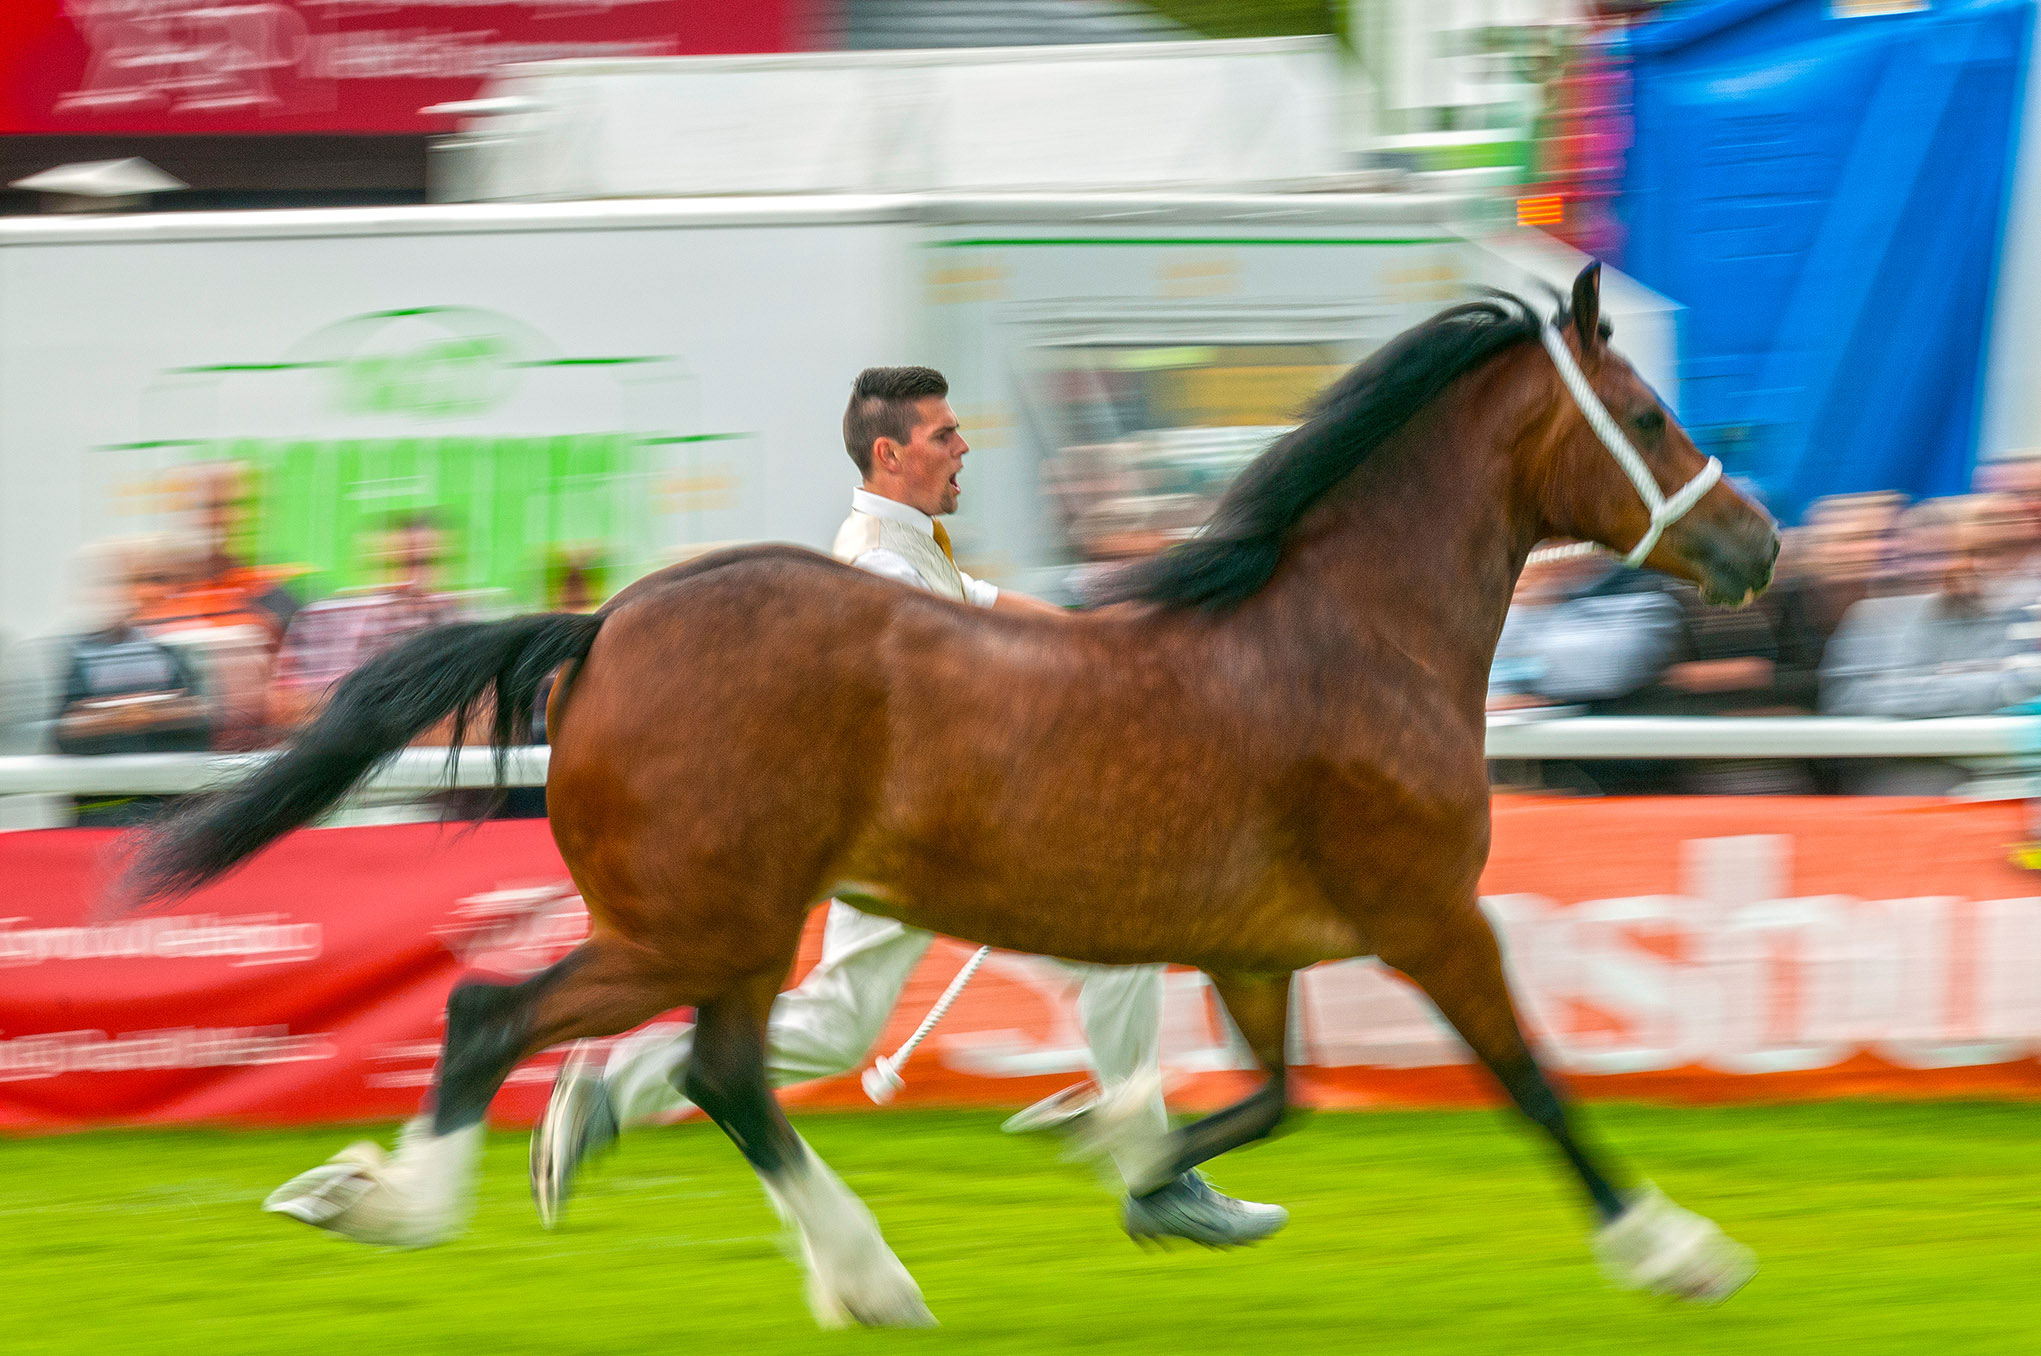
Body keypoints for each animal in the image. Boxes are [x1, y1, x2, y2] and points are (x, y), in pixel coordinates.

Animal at [130, 264, 1778, 1328]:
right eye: (1644, 412)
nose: (1758, 549)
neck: (1348, 636)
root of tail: (604, 623)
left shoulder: (1255, 946)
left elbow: (1273, 1098)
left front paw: (1138, 1173)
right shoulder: (1430, 912)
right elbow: (1530, 1078)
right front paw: (1678, 1250)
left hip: (731, 929)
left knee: (719, 1069)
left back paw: (798, 1245)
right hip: (701, 919)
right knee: (514, 1019)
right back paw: (415, 1203)